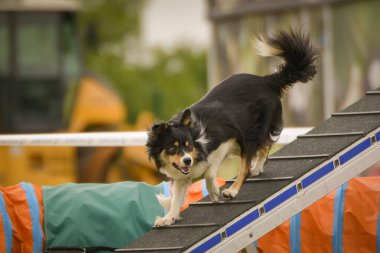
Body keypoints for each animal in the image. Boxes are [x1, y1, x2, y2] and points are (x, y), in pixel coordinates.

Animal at [147, 30, 320, 227]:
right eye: (172, 149)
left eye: (188, 146)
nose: (187, 160)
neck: (197, 140)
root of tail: (266, 80)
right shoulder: (182, 175)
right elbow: (176, 197)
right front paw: (169, 217)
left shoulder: (225, 143)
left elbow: (210, 172)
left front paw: (214, 191)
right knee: (262, 149)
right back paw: (256, 168)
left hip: (251, 133)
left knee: (253, 159)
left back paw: (235, 188)